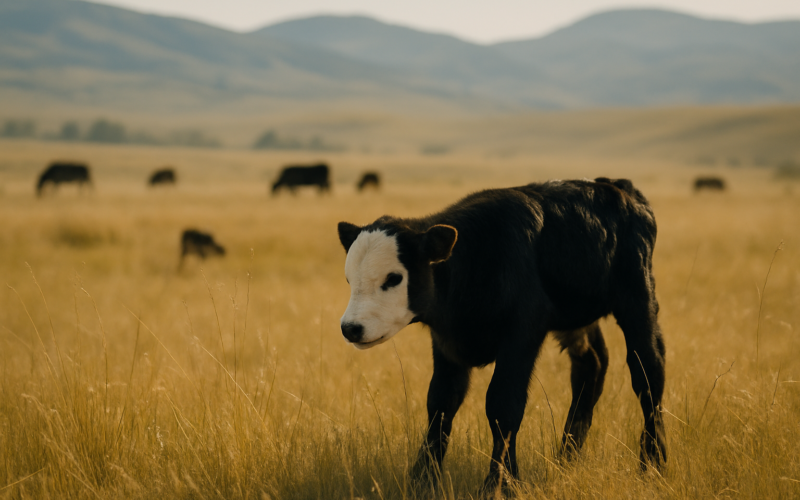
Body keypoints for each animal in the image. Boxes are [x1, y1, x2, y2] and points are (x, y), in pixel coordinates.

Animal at [337, 178, 666, 495]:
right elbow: (440, 403)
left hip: (638, 298)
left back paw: (653, 463)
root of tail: (616, 186)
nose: (350, 327)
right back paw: (566, 458)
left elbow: (503, 404)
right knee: (591, 366)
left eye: (393, 278)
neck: (475, 259)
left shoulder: (522, 333)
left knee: (649, 372)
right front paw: (422, 480)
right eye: (349, 279)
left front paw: (501, 483)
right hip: (578, 320)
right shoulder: (446, 343)